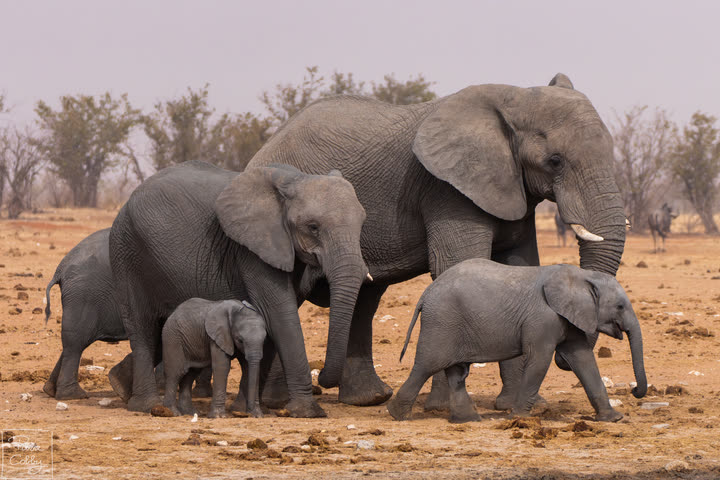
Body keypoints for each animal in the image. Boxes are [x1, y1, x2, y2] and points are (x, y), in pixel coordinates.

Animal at [108, 160, 369, 417]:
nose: (322, 376)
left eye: (362, 223)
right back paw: (146, 406)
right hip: (126, 253)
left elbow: (270, 321)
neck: (295, 179)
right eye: (313, 227)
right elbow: (280, 316)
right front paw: (307, 412)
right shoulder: (251, 250)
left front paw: (243, 410)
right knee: (142, 329)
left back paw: (121, 385)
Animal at [247, 73, 627, 410]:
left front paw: (521, 406)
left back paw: (367, 400)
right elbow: (455, 264)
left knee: (364, 298)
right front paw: (445, 408)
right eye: (555, 161)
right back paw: (278, 402)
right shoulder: (446, 189)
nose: (565, 357)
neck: (513, 96)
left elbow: (519, 266)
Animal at [387, 259, 647, 423]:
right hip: (442, 322)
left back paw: (468, 420)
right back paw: (397, 415)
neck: (583, 275)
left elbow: (583, 359)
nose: (634, 390)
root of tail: (426, 293)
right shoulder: (543, 317)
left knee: (456, 373)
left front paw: (614, 419)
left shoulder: (568, 319)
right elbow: (540, 360)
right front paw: (518, 418)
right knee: (427, 365)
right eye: (620, 306)